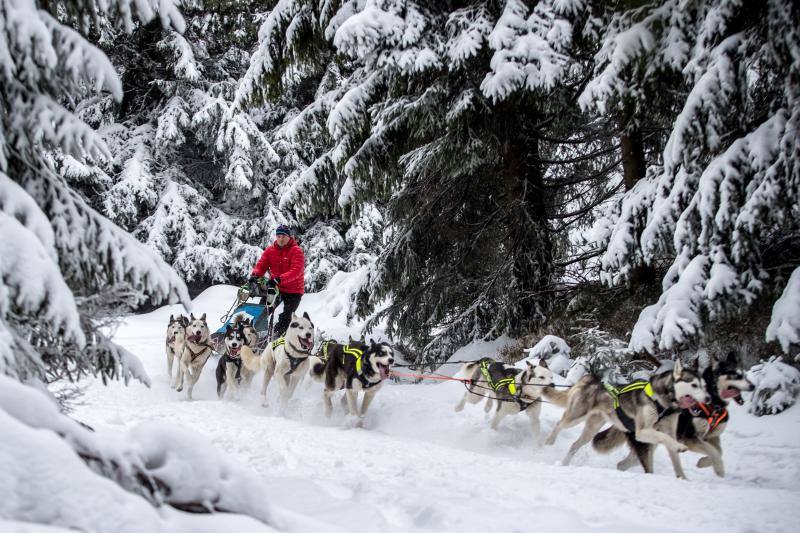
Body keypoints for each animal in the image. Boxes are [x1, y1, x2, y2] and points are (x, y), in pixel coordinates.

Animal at [596, 354, 752, 478]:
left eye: (743, 374)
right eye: (735, 374)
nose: (752, 386)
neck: (714, 403)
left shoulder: (712, 436)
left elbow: (718, 451)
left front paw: (705, 463)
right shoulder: (690, 438)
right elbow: (714, 451)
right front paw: (716, 468)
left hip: (648, 444)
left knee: (623, 464)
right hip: (646, 445)